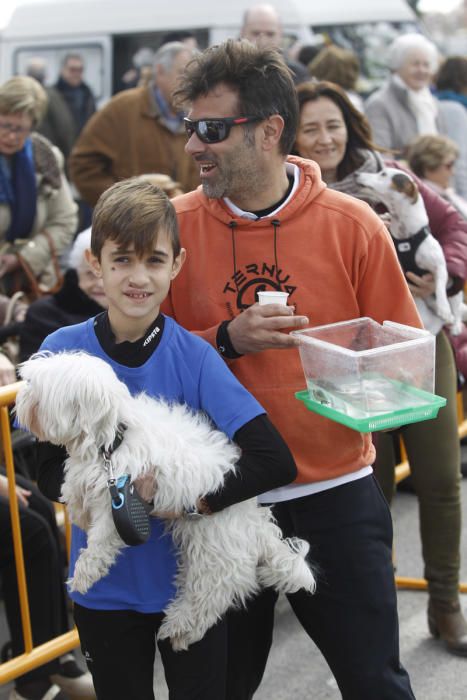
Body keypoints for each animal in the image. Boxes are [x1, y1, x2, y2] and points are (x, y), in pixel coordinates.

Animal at [17, 350, 318, 652]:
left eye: (39, 389)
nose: (21, 397)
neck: (114, 437)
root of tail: (254, 523)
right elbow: (74, 485)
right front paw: (78, 509)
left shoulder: (120, 498)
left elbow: (101, 540)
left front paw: (83, 574)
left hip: (214, 548)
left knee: (214, 592)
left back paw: (181, 628)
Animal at [358, 167, 464, 336]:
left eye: (383, 174)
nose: (356, 174)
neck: (407, 236)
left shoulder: (439, 267)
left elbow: (440, 286)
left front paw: (444, 308)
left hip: (455, 291)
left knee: (456, 309)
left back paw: (454, 324)